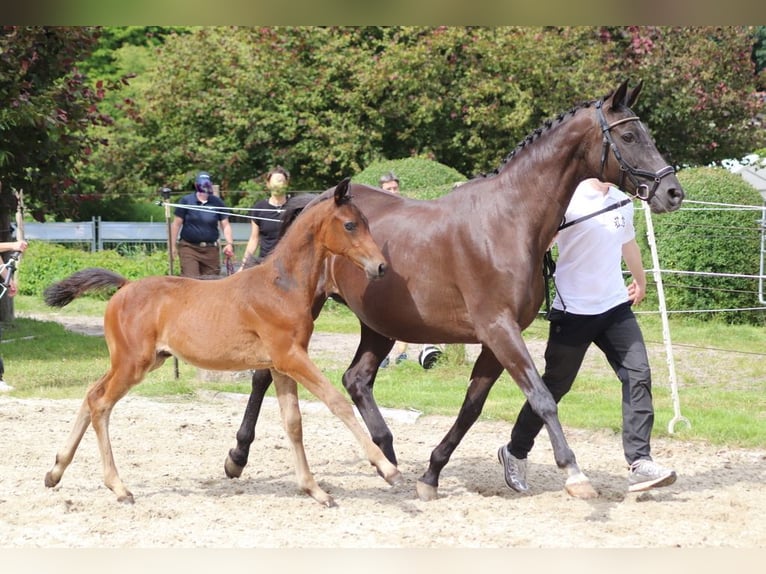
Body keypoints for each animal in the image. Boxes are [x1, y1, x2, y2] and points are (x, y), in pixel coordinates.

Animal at [226, 79, 684, 502]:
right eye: (629, 136)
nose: (673, 192)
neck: (510, 220)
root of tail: (314, 201)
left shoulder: (495, 339)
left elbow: (472, 407)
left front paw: (430, 475)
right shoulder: (499, 329)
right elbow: (542, 397)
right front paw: (574, 473)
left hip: (380, 323)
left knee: (356, 379)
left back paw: (387, 458)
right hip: (309, 309)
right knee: (265, 375)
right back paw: (238, 456)